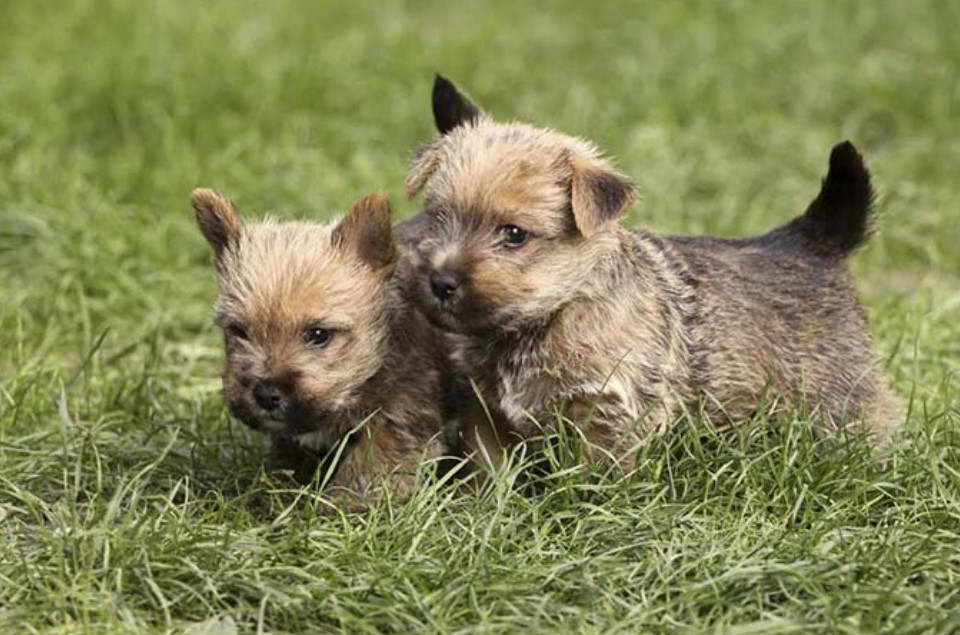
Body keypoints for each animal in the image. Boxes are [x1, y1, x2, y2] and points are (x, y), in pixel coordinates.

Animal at [195, 189, 454, 502]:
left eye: (319, 335)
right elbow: (288, 462)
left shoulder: (398, 421)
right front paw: (274, 496)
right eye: (239, 331)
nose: (266, 394)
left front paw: (337, 507)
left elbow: (364, 473)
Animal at [404, 76, 900, 472]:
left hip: (840, 402)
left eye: (513, 234)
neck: (546, 319)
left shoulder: (608, 412)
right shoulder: (485, 412)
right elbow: (490, 472)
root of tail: (811, 239)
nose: (440, 282)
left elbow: (591, 481)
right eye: (438, 217)